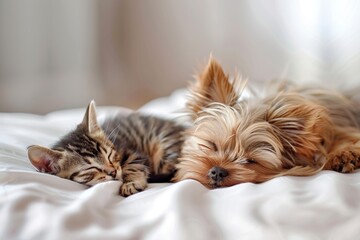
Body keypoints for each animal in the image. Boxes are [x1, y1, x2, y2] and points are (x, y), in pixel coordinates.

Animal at [27, 100, 186, 196]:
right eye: (91, 168)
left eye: (109, 155)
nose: (113, 172)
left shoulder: (132, 152)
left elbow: (132, 166)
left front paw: (131, 183)